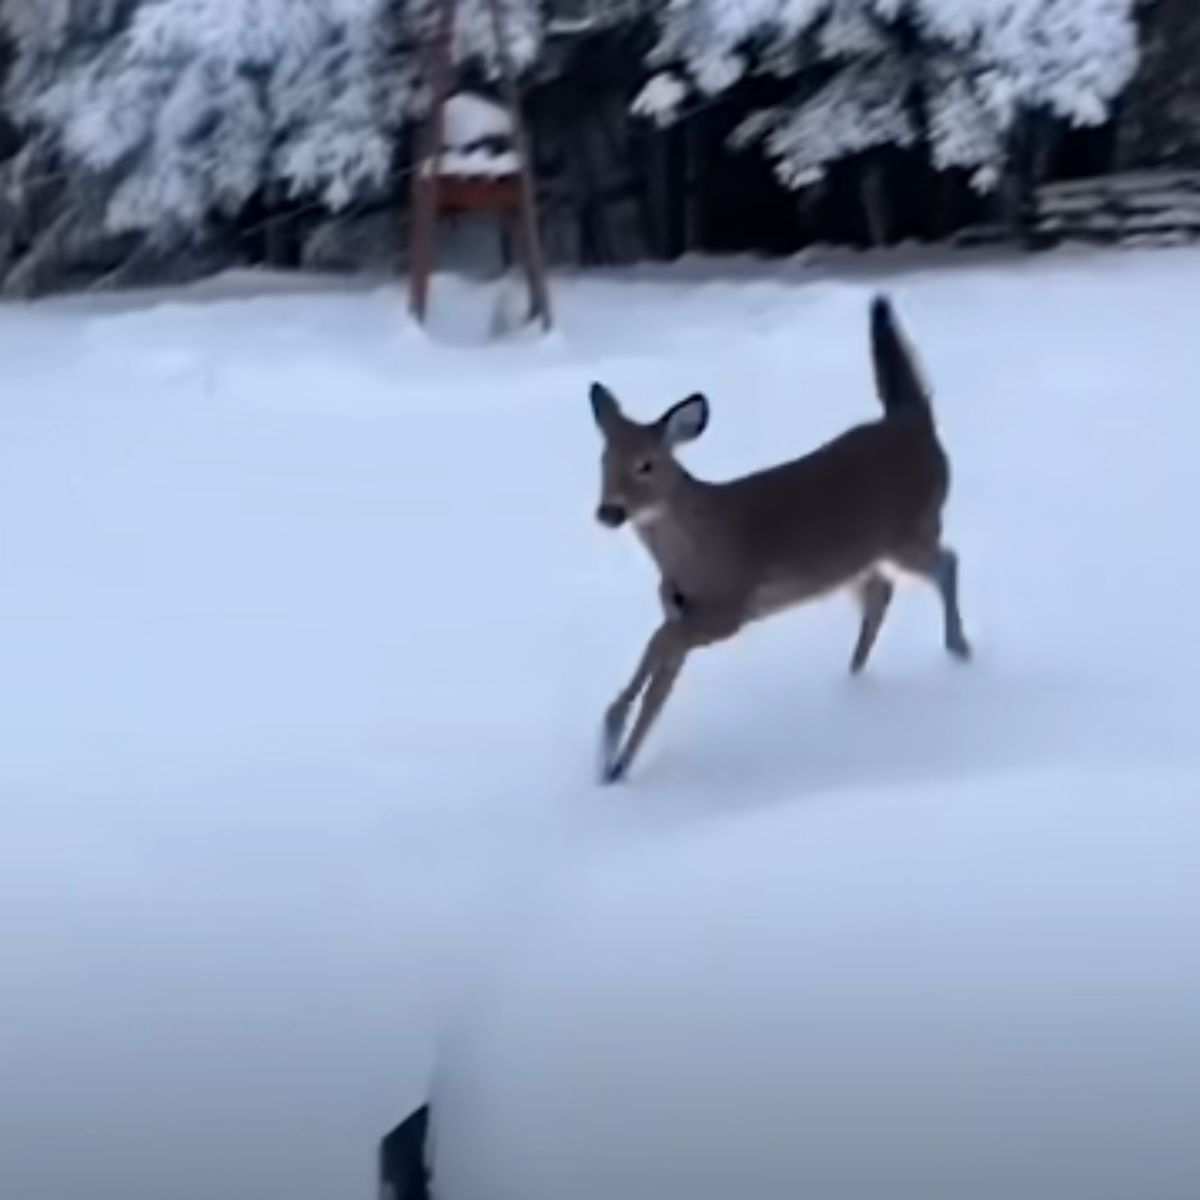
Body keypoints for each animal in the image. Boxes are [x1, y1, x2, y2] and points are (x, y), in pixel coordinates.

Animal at [590, 294, 974, 782]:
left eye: (646, 464)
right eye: (604, 461)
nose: (609, 511)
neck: (693, 551)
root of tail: (914, 421)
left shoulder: (729, 609)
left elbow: (661, 647)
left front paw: (611, 751)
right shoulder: (682, 609)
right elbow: (658, 672)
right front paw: (613, 756)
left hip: (912, 528)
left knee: (946, 562)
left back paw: (958, 648)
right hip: (861, 554)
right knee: (881, 589)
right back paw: (853, 675)